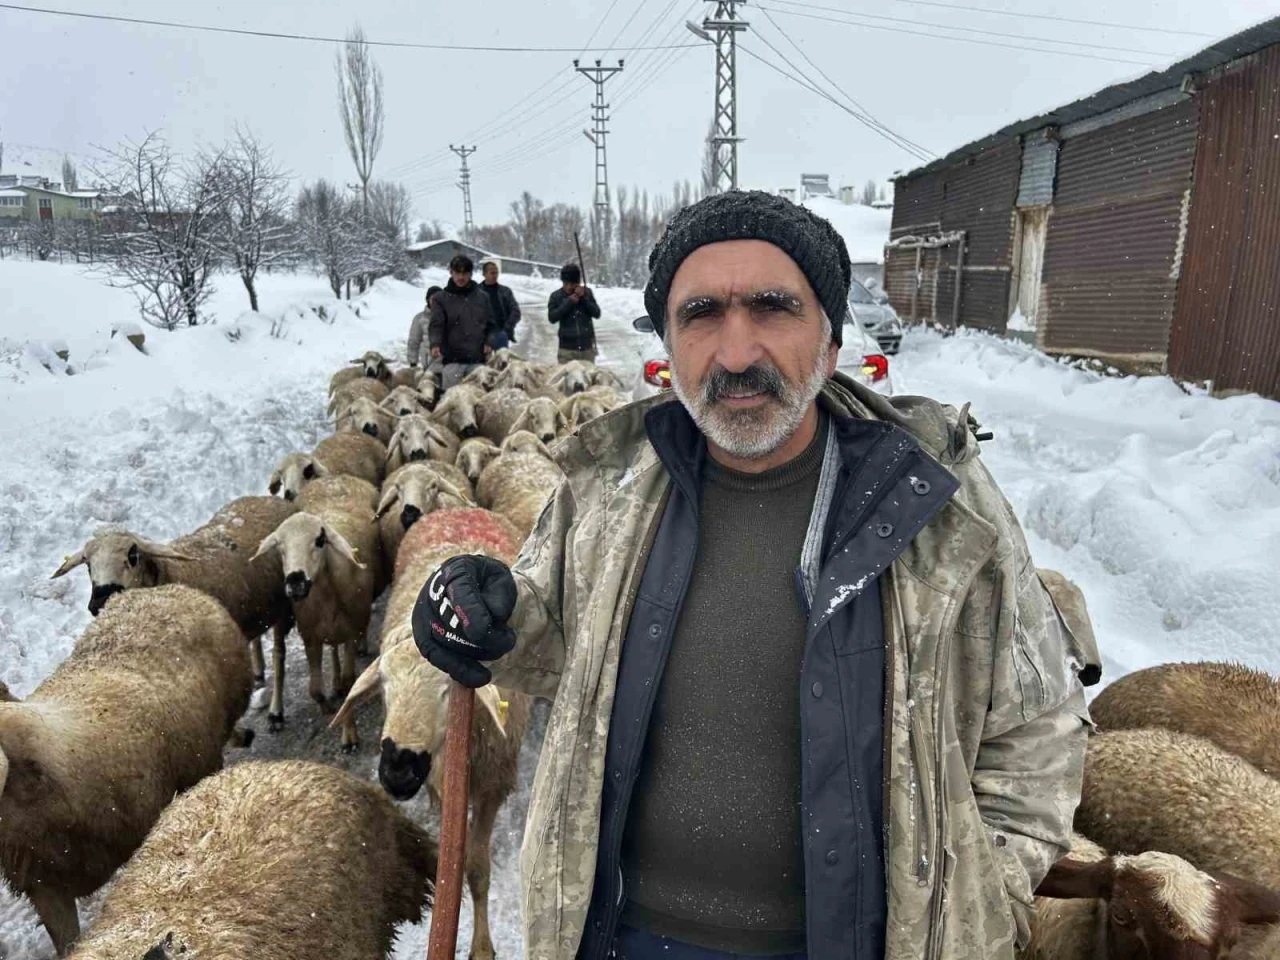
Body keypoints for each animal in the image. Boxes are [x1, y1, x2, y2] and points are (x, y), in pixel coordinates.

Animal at [51, 499, 294, 696]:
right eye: (88, 564)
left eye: (132, 555)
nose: (99, 602)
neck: (171, 573)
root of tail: (272, 500)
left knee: (279, 654)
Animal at [252, 476, 381, 752]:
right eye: (279, 547)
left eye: (319, 540)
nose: (295, 581)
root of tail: (335, 478)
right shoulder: (309, 636)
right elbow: (314, 689)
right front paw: (328, 707)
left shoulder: (352, 632)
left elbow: (349, 683)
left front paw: (349, 735)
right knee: (279, 655)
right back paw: (276, 713)